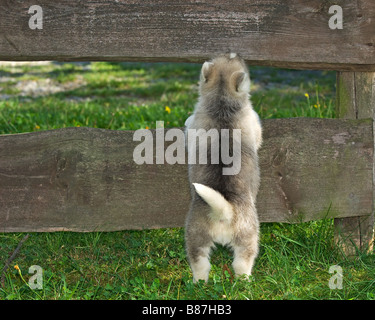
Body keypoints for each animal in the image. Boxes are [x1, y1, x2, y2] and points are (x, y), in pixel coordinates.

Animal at [184, 53, 262, 282]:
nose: (233, 52)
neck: (221, 102)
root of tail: (224, 211)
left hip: (196, 237)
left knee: (200, 264)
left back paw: (198, 282)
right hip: (247, 238)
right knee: (242, 263)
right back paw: (246, 281)